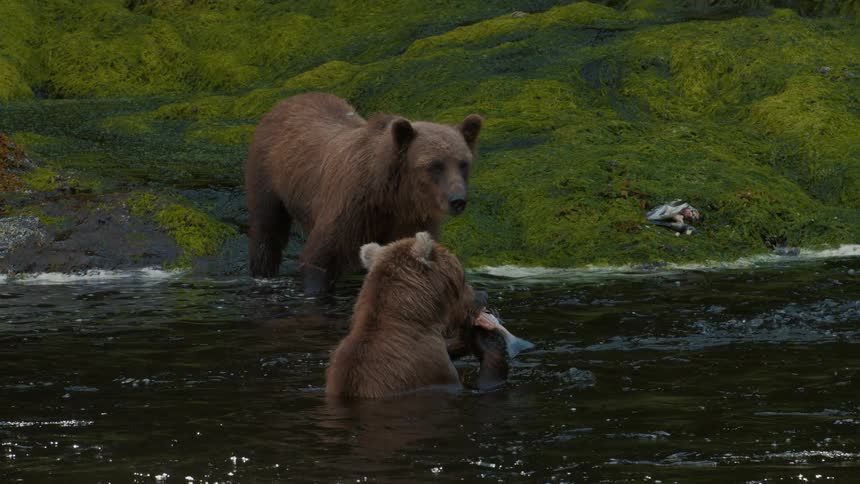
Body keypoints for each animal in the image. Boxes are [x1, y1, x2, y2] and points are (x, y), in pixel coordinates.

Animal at [244, 92, 483, 295]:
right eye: (434, 165)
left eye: (463, 163)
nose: (457, 200)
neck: (393, 197)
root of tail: (286, 101)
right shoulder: (351, 209)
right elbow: (319, 258)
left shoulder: (410, 220)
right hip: (268, 175)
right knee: (267, 230)